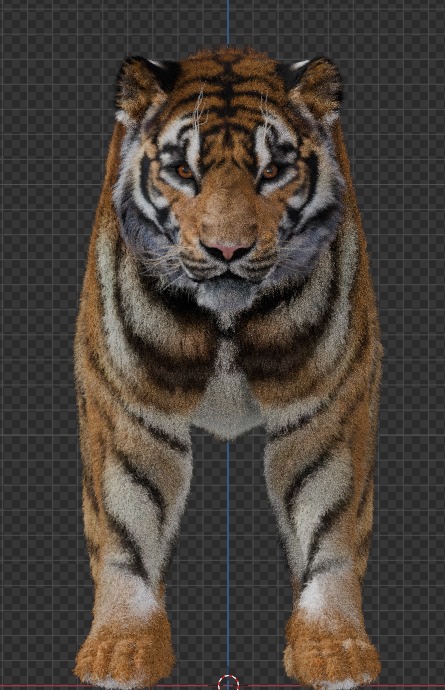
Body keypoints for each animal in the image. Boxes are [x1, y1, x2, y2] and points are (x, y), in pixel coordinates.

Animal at [72, 45, 384, 690]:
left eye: (273, 171)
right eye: (183, 171)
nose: (227, 251)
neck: (226, 320)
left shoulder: (327, 405)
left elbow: (331, 525)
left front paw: (334, 649)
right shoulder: (129, 407)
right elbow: (125, 525)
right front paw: (121, 651)